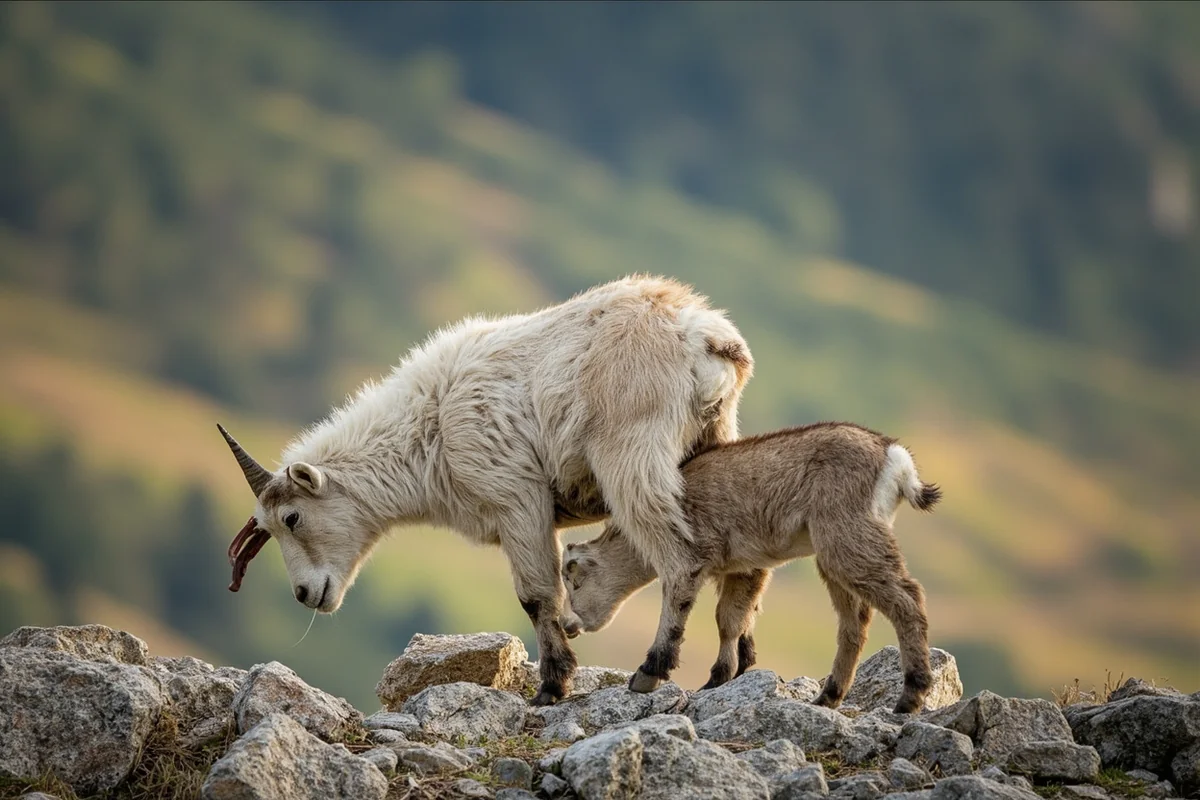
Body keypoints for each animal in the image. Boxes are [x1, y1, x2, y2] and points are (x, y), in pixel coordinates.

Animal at [216, 275, 753, 706]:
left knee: (679, 559)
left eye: (291, 518)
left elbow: (537, 596)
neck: (429, 427)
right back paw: (735, 668)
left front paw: (552, 686)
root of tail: (706, 337)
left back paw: (653, 668)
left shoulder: (516, 497)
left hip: (632, 453)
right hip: (714, 438)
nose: (306, 594)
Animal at [561, 421, 941, 714]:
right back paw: (827, 697)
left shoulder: (688, 562)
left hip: (849, 538)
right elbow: (730, 620)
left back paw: (910, 696)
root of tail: (896, 460)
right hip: (835, 554)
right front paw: (717, 679)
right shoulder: (744, 568)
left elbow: (683, 612)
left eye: (575, 581)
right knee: (855, 623)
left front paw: (648, 674)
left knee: (908, 599)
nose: (567, 624)